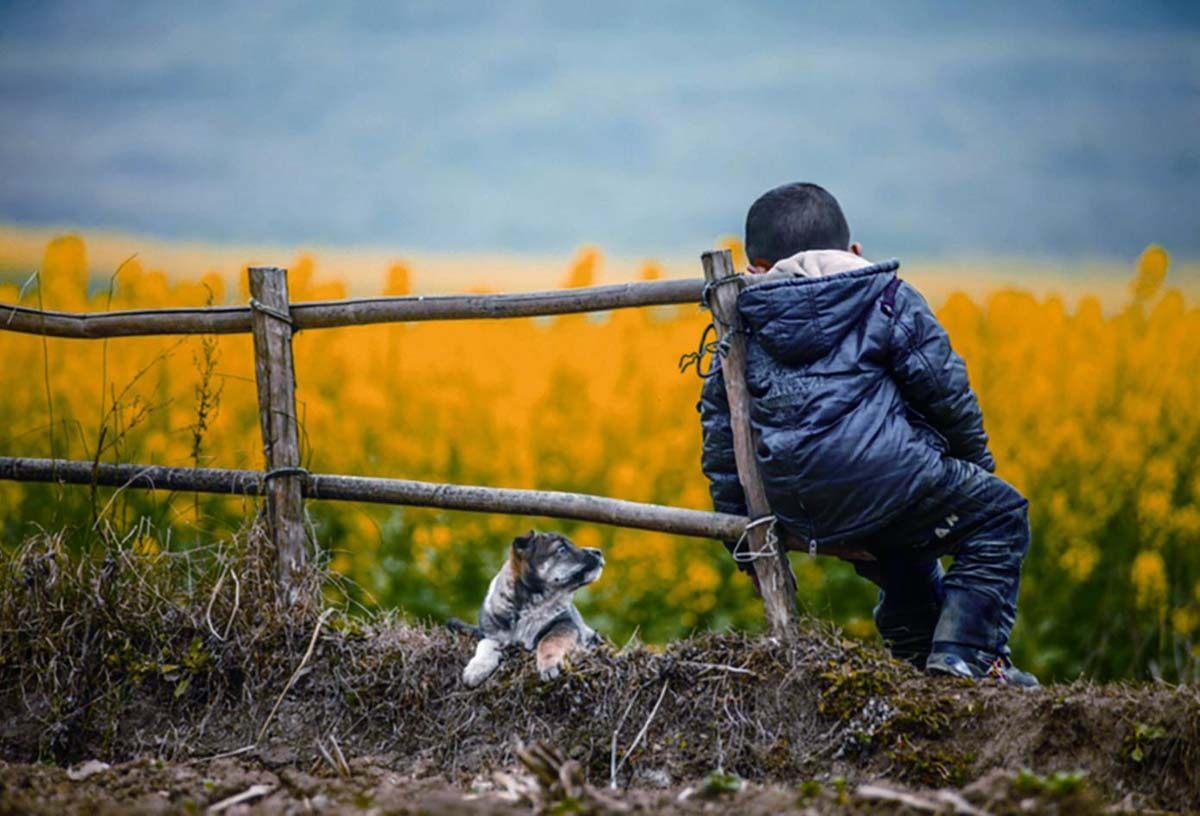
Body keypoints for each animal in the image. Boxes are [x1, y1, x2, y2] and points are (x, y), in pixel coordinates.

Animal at [451, 528, 604, 686]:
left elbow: (550, 639)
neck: (531, 605)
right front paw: (476, 669)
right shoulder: (491, 634)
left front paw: (549, 665)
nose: (599, 552)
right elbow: (485, 644)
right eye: (561, 549)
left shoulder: (566, 624)